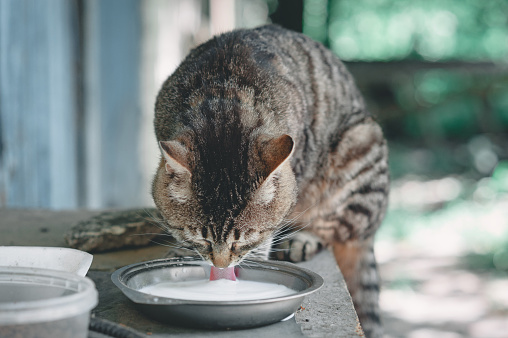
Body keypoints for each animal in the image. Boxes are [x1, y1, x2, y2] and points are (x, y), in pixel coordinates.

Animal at [151, 25, 388, 336]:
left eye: (245, 239)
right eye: (201, 238)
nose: (221, 266)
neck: (223, 95)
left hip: (360, 147)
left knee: (342, 225)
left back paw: (305, 238)